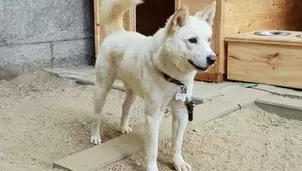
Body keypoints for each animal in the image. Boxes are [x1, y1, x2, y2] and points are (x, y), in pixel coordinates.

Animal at [90, 0, 217, 170]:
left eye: (208, 39)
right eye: (192, 40)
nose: (213, 59)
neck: (173, 78)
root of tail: (116, 33)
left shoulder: (181, 112)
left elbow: (177, 143)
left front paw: (178, 162)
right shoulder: (153, 115)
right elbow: (153, 148)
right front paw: (152, 167)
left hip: (133, 92)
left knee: (125, 108)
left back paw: (123, 128)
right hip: (102, 89)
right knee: (97, 115)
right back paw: (95, 136)